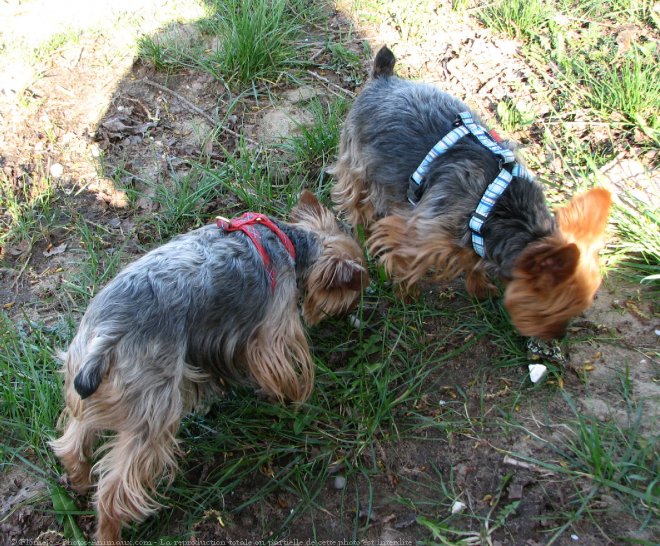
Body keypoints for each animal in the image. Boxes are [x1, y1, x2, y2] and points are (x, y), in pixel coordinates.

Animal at [52, 190, 368, 540]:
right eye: (351, 291)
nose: (356, 307)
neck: (288, 241)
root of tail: (106, 337)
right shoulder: (273, 329)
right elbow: (280, 368)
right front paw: (286, 397)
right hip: (153, 404)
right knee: (115, 489)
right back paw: (110, 533)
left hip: (90, 383)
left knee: (73, 441)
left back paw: (78, 479)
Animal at [330, 44, 612, 338]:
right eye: (550, 310)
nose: (558, 335)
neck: (500, 207)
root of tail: (383, 78)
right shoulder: (416, 232)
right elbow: (406, 261)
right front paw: (407, 296)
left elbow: (472, 261)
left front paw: (480, 288)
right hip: (357, 160)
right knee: (356, 200)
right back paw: (362, 232)